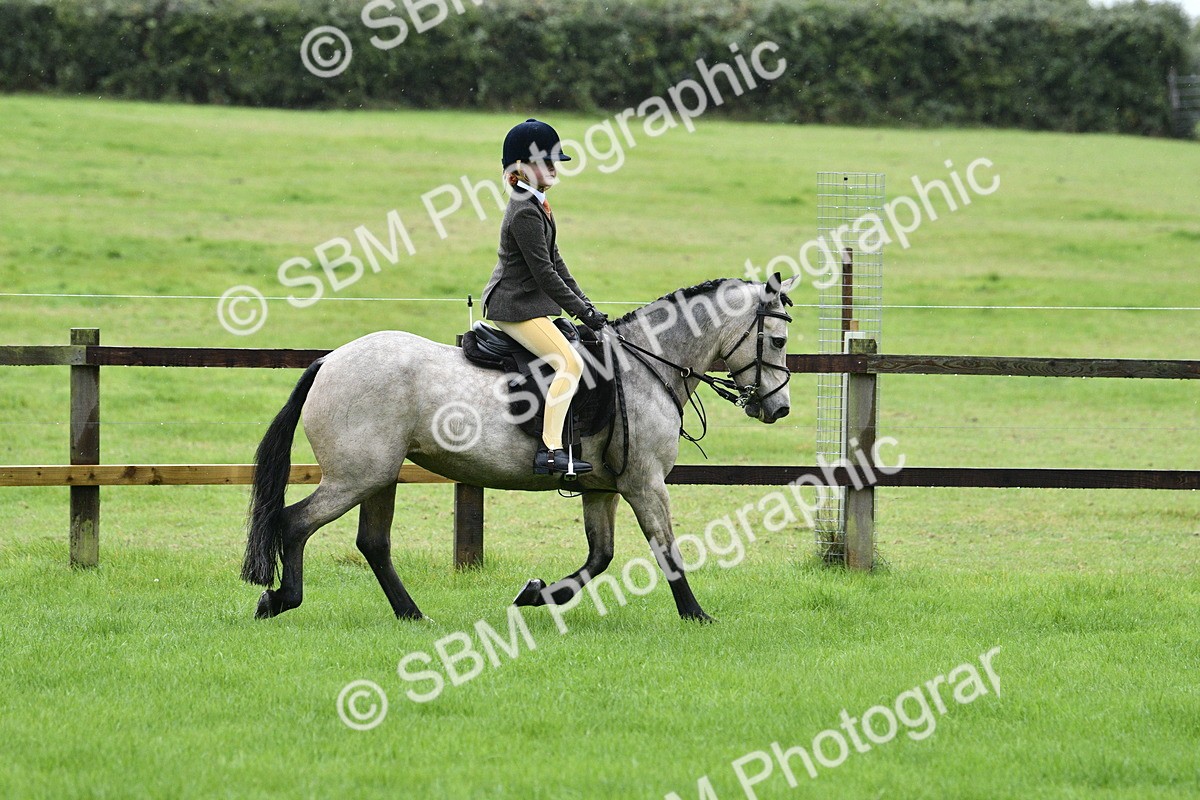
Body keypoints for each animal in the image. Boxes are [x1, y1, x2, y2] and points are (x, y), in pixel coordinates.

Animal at [241, 273, 799, 623]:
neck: (646, 364)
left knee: (373, 544)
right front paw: (696, 615)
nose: (779, 409)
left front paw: (538, 595)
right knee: (296, 522)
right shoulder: (646, 483)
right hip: (357, 475)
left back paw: (412, 615)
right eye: (776, 341)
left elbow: (600, 556)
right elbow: (665, 550)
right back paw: (281, 600)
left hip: (380, 476)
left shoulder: (603, 487)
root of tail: (329, 361)